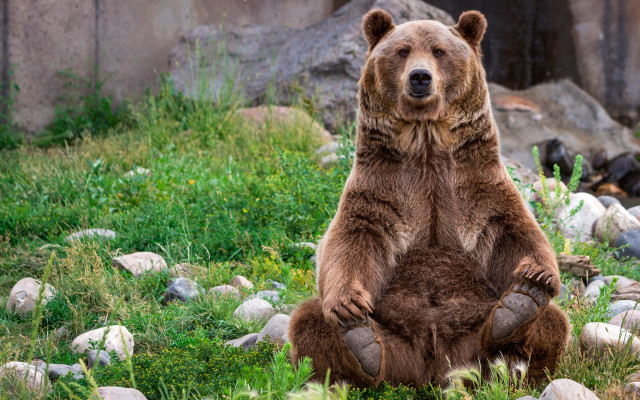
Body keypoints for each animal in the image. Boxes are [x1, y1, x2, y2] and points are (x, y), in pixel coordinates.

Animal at [287, 9, 570, 389]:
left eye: (439, 51)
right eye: (402, 50)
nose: (420, 77)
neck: (426, 143)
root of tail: (432, 368)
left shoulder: (477, 185)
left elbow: (514, 232)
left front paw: (537, 276)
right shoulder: (381, 188)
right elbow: (351, 241)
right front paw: (347, 305)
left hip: (472, 338)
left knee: (552, 322)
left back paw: (518, 310)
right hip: (395, 341)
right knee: (308, 320)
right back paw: (361, 346)